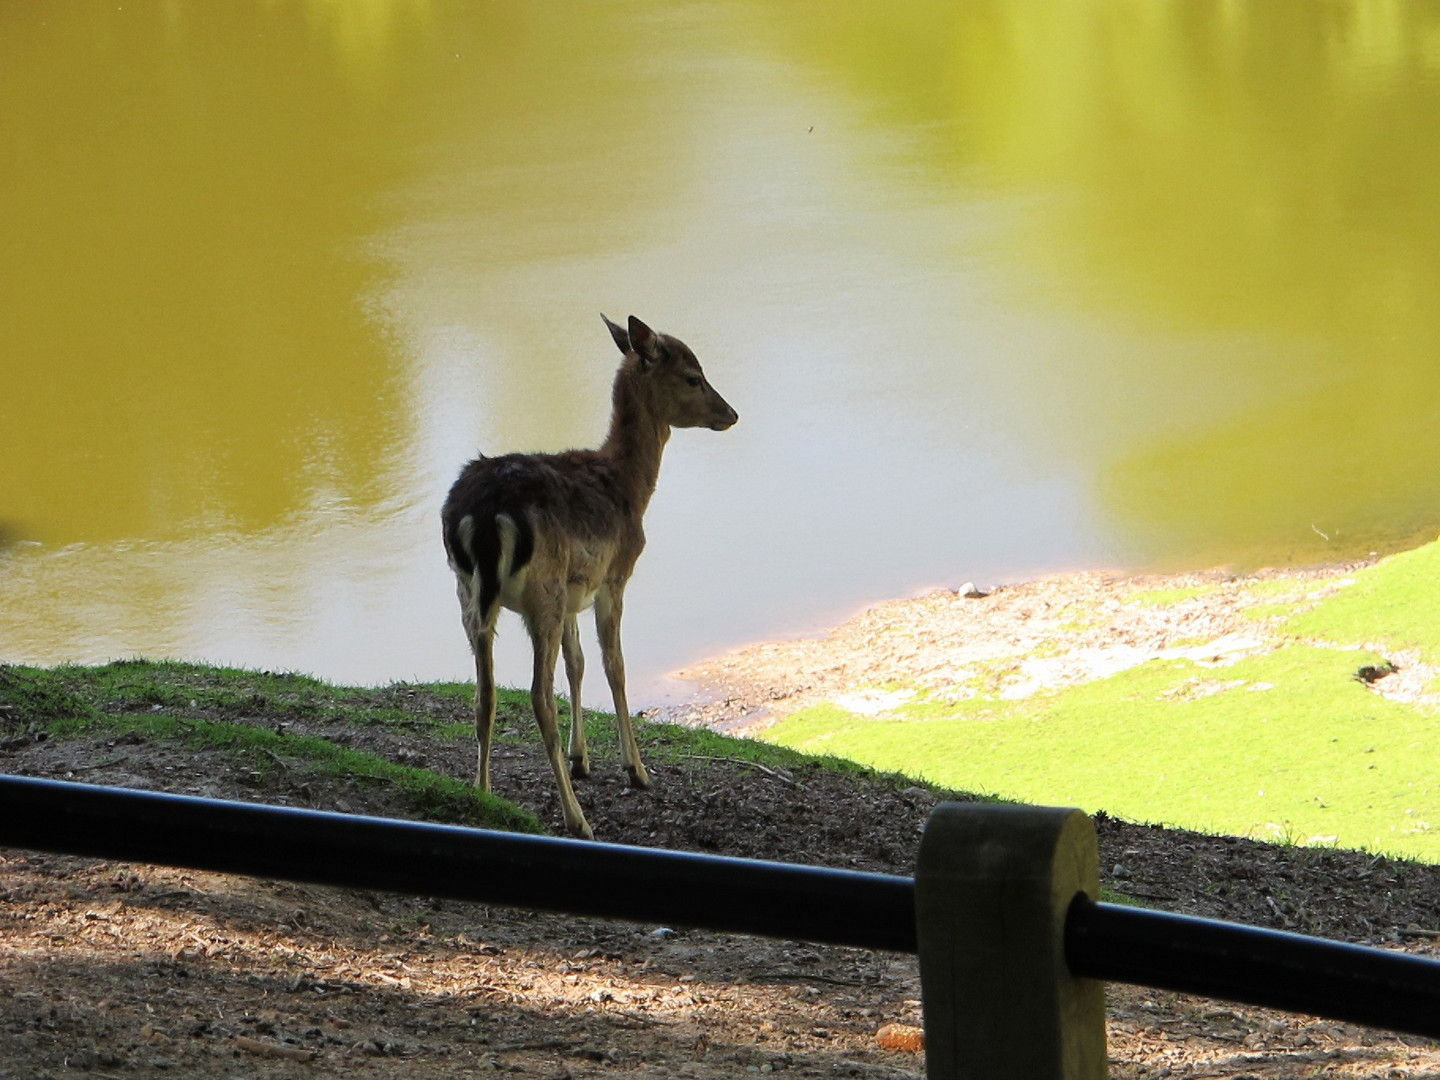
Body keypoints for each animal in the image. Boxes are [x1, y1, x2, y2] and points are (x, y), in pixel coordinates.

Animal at [437, 316, 737, 840]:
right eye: (693, 377)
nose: (731, 413)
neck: (630, 488)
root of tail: (486, 513)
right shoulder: (613, 577)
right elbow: (614, 666)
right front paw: (636, 769)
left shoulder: (576, 588)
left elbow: (576, 663)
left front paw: (583, 760)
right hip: (542, 593)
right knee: (538, 696)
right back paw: (577, 819)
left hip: (471, 593)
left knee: (484, 693)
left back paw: (483, 794)